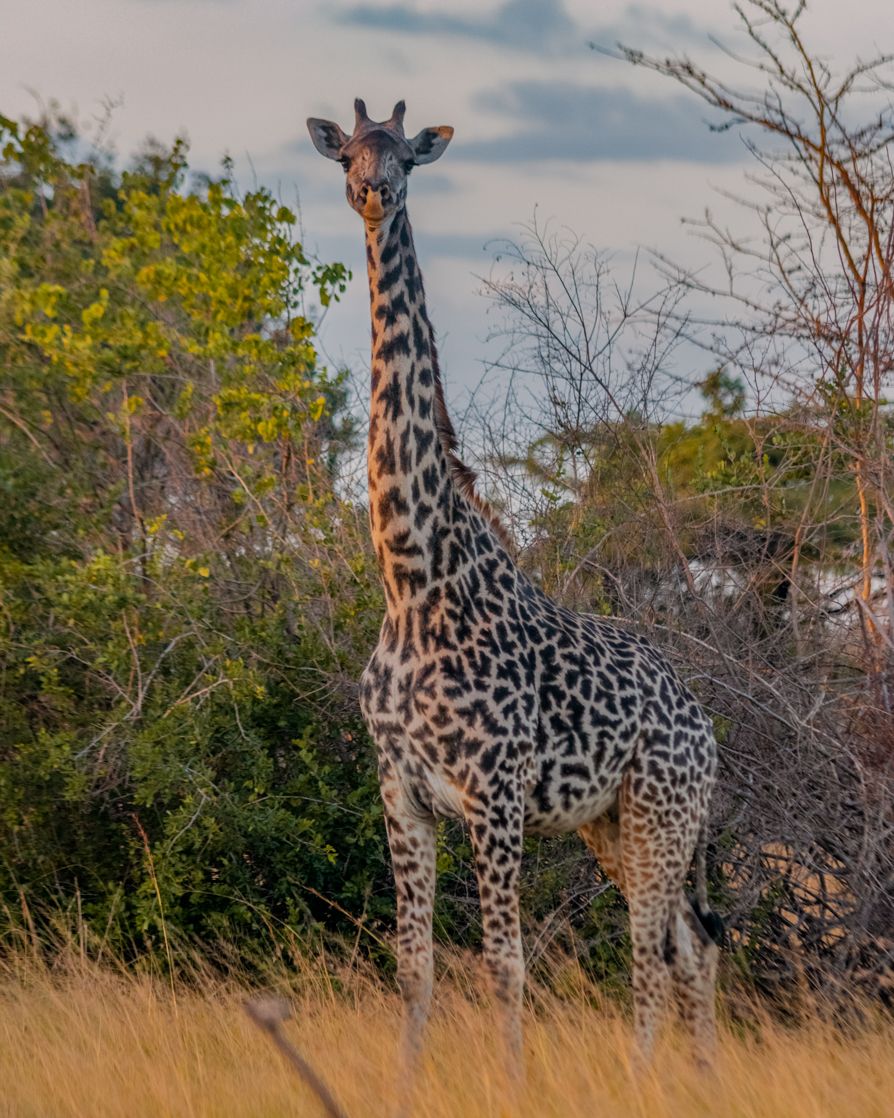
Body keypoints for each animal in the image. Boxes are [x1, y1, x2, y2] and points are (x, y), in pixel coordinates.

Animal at [306, 100, 719, 1104]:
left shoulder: (492, 795)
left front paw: (513, 1086)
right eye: (348, 152)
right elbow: (412, 965)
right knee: (690, 950)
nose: (372, 191)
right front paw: (404, 1089)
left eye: (407, 156)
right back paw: (701, 1086)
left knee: (654, 955)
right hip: (618, 827)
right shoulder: (401, 790)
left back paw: (647, 1083)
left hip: (659, 817)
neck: (411, 580)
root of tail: (708, 733)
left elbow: (504, 962)